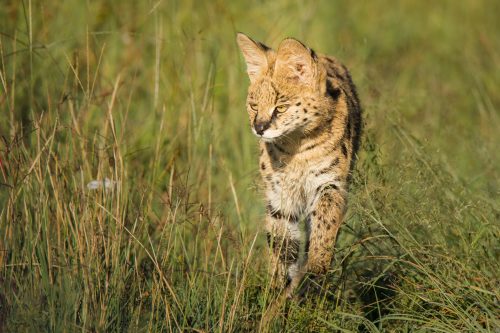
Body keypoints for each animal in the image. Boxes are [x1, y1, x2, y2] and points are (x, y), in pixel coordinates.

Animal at [236, 32, 362, 294]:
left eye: (280, 107)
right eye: (254, 105)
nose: (259, 128)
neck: (297, 146)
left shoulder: (330, 185)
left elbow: (324, 228)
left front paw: (315, 271)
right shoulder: (280, 194)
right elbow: (281, 242)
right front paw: (277, 288)